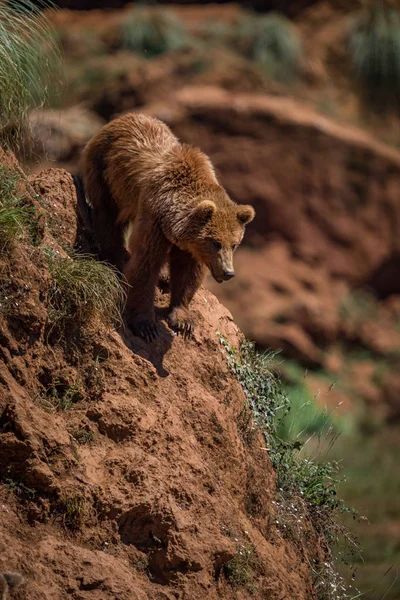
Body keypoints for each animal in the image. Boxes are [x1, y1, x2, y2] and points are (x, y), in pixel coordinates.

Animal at [82, 110, 255, 340]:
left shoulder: (190, 245)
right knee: (107, 217)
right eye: (215, 242)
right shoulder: (153, 217)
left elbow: (187, 272)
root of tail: (123, 117)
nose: (228, 272)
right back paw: (117, 258)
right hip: (105, 172)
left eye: (234, 244)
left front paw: (182, 319)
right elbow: (146, 263)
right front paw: (146, 324)